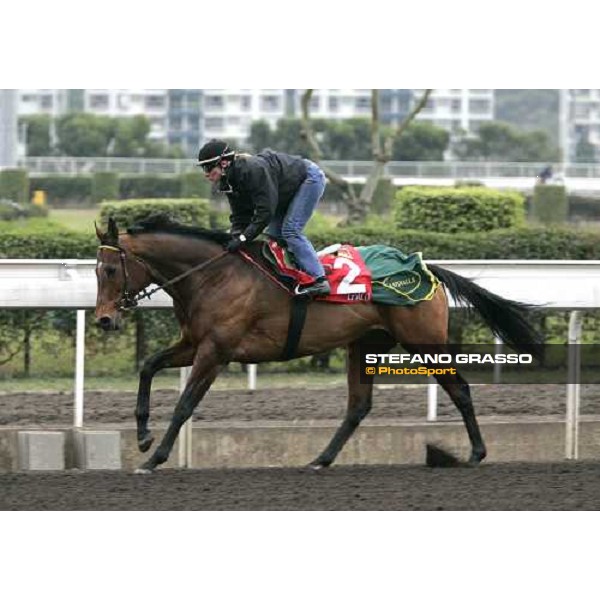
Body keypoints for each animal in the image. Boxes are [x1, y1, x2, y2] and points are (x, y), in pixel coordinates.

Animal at [96, 216, 540, 474]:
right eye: (97, 270)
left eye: (111, 269)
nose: (104, 319)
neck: (213, 275)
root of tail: (426, 267)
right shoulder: (193, 343)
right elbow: (148, 366)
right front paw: (142, 435)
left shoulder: (216, 351)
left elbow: (185, 405)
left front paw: (153, 458)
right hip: (364, 345)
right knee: (358, 406)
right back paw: (320, 460)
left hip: (424, 341)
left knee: (460, 389)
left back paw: (477, 453)